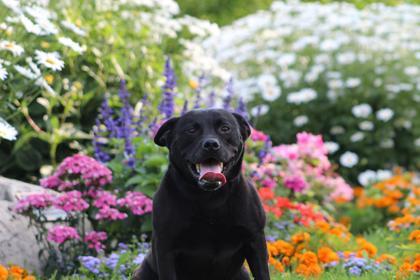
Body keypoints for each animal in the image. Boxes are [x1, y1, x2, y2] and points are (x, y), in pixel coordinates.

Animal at [133, 109, 270, 280]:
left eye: (225, 128)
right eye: (191, 130)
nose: (211, 144)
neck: (210, 199)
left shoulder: (255, 240)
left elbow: (262, 273)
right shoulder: (165, 248)